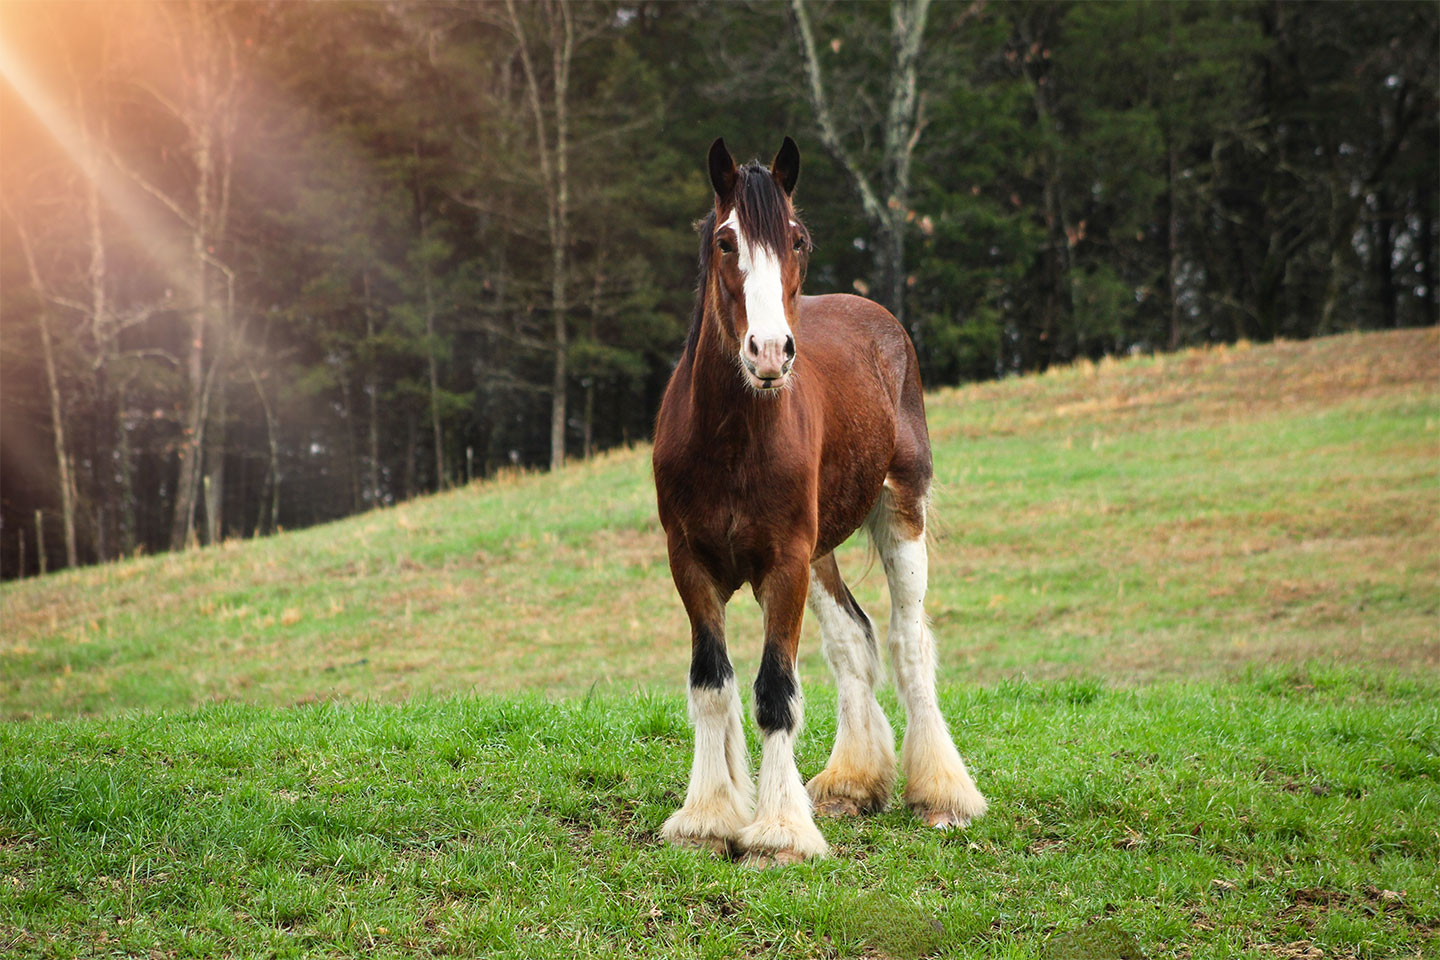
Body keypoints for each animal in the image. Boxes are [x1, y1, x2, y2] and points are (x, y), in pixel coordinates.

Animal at [651, 137, 987, 865]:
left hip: (898, 514)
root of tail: (880, 318)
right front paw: (709, 817)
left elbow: (775, 691)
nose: (770, 351)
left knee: (907, 641)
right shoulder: (691, 564)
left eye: (797, 239)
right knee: (854, 642)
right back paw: (850, 784)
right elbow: (711, 684)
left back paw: (942, 796)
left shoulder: (783, 563)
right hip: (821, 552)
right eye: (725, 241)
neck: (730, 439)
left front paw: (780, 833)